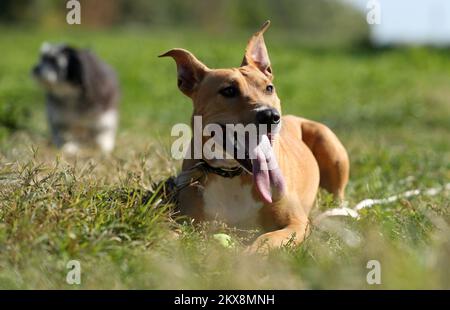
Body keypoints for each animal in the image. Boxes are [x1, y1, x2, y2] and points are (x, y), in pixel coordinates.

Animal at [160, 20, 350, 251]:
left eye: (269, 88)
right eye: (228, 91)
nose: (270, 115)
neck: (232, 174)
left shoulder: (296, 223)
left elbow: (266, 239)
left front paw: (249, 255)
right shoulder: (185, 219)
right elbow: (168, 234)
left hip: (329, 144)